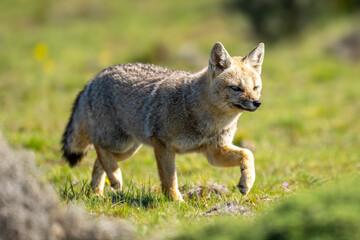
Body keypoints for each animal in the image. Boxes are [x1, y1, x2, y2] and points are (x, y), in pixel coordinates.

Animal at [61, 41, 264, 201]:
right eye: (236, 88)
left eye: (255, 88)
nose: (257, 103)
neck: (209, 122)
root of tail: (94, 78)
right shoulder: (162, 144)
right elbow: (169, 178)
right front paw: (175, 201)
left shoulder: (214, 152)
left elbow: (248, 154)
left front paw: (247, 182)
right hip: (120, 143)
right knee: (98, 147)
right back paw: (115, 177)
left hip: (128, 149)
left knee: (98, 161)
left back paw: (98, 193)